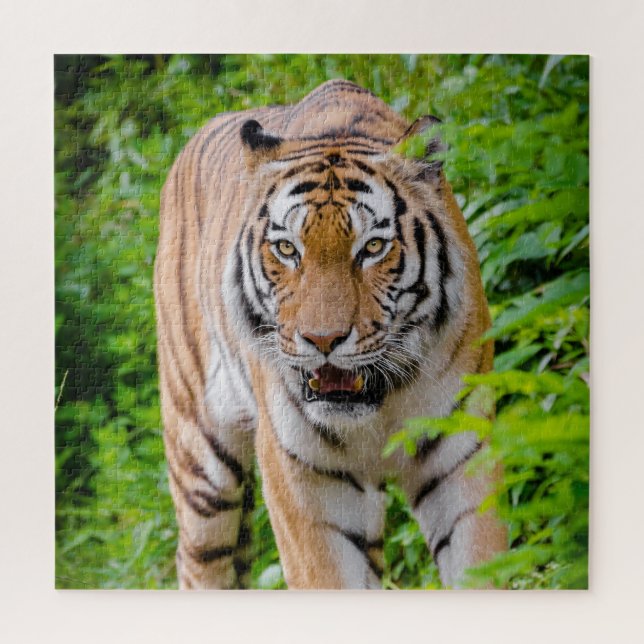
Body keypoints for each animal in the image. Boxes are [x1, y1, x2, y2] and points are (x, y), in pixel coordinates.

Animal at [154, 78, 507, 590]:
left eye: (373, 247)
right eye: (286, 249)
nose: (322, 341)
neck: (380, 404)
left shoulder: (461, 455)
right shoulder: (303, 481)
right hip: (200, 462)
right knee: (199, 559)